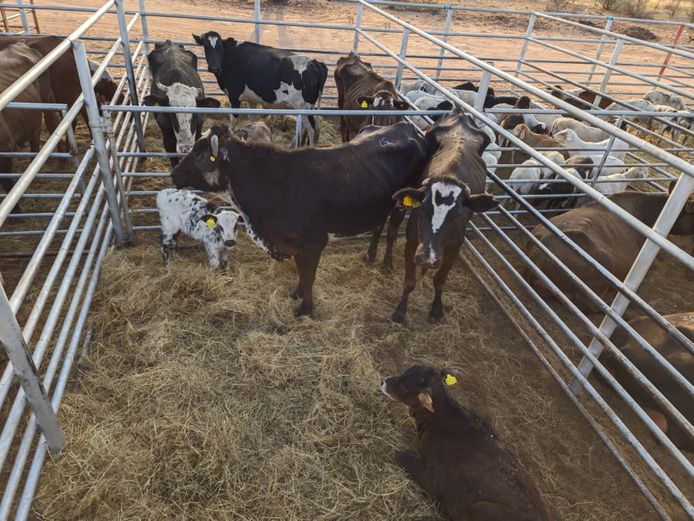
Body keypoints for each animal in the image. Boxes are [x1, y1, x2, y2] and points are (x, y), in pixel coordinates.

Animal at [170, 122, 432, 316]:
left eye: (201, 154)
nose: (173, 173)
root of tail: (408, 126)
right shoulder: (294, 243)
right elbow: (300, 272)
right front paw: (296, 294)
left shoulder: (314, 242)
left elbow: (309, 277)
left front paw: (305, 309)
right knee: (379, 226)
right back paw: (370, 255)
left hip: (402, 202)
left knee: (392, 230)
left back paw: (386, 264)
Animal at [193, 32, 328, 147]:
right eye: (206, 47)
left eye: (220, 48)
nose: (214, 67)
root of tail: (315, 62)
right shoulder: (251, 99)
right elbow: (252, 120)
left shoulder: (234, 97)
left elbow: (232, 123)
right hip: (307, 107)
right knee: (306, 127)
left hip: (303, 106)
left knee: (311, 129)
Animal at [381, 365, 551, 521]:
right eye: (405, 371)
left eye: (405, 385)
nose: (383, 381)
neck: (441, 420)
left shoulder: (432, 478)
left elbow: (398, 454)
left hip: (481, 509)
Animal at [391, 111, 498, 323]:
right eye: (423, 209)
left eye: (456, 216)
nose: (427, 258)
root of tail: (460, 114)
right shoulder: (412, 242)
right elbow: (409, 281)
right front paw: (400, 310)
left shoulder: (454, 248)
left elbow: (440, 280)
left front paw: (436, 308)